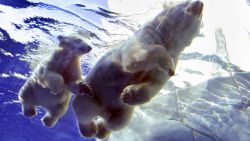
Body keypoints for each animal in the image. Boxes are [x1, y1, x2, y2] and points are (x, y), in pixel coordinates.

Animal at [72, 0, 203, 139]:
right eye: (185, 2)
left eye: (202, 18)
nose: (201, 4)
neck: (167, 39)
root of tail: (103, 111)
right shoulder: (144, 37)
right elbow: (135, 57)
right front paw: (168, 65)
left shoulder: (173, 57)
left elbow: (155, 83)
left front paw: (128, 95)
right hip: (94, 94)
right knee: (83, 110)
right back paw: (90, 129)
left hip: (122, 111)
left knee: (117, 123)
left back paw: (102, 130)